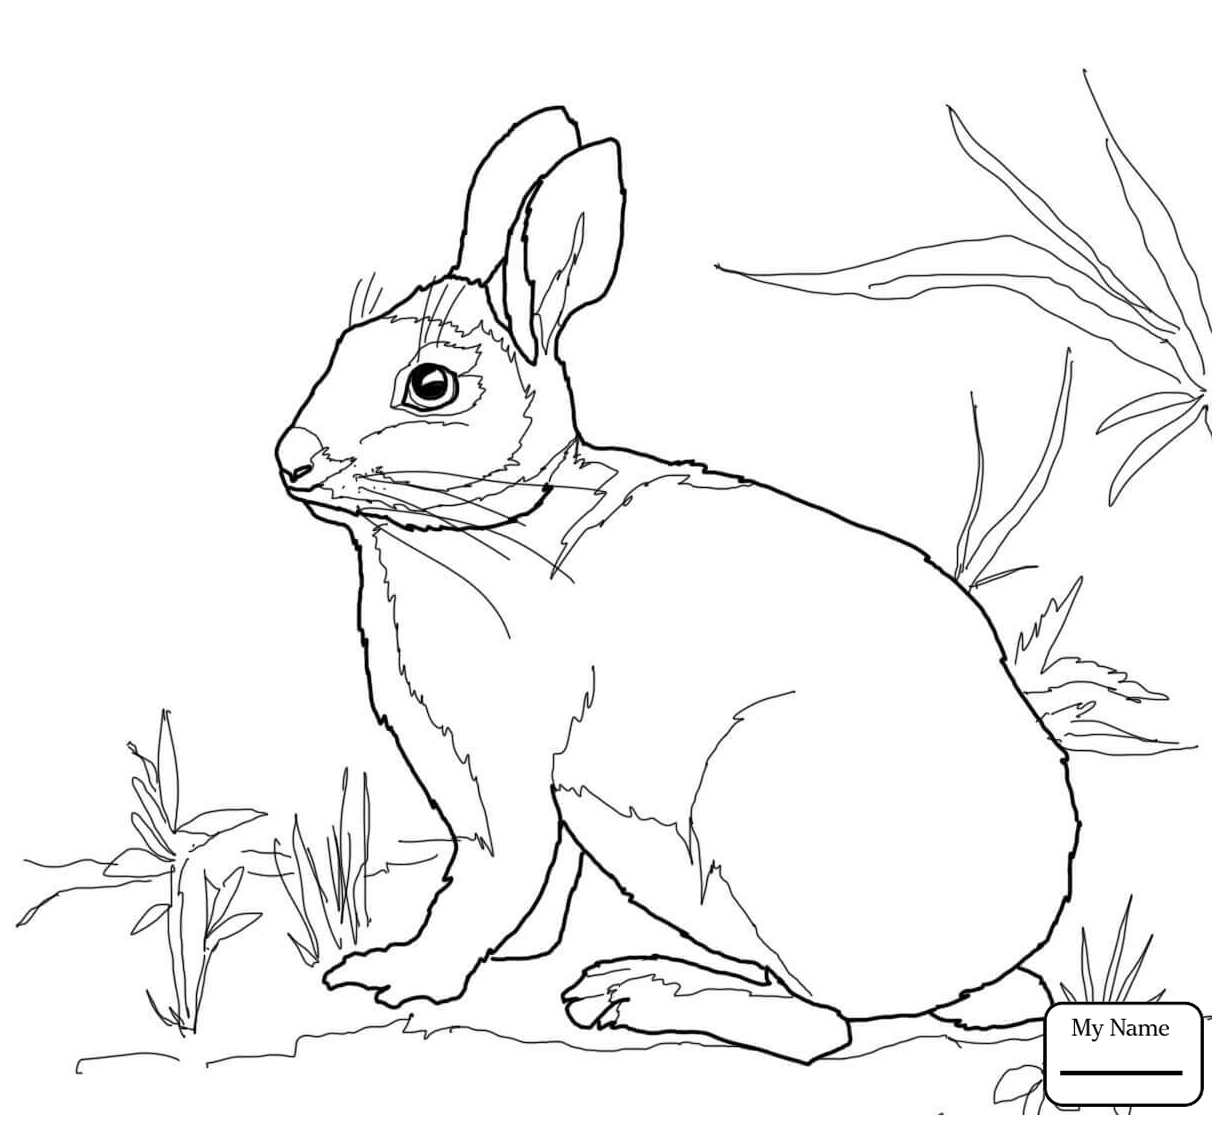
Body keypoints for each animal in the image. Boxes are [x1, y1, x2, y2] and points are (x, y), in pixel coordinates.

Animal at [275, 106, 1079, 1063]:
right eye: (342, 349)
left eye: (430, 385)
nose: (291, 461)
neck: (495, 525)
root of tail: (982, 966)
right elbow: (535, 890)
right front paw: (505, 957)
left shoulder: (506, 770)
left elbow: (490, 879)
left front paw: (400, 977)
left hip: (760, 809)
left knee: (819, 1027)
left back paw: (637, 995)